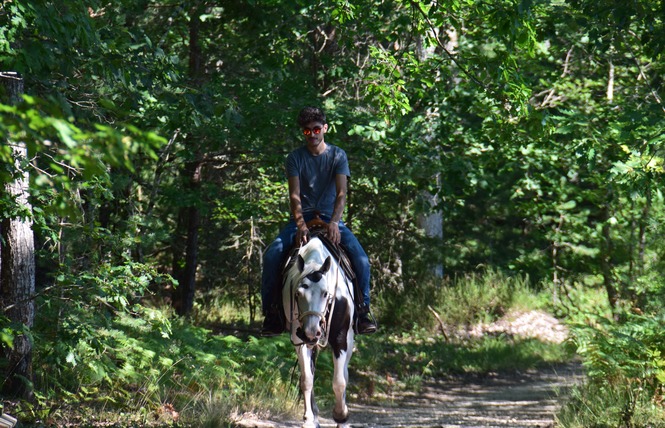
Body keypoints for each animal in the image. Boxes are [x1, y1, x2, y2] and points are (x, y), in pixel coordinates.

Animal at [282, 234, 358, 428]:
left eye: (325, 293)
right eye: (298, 294)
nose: (311, 332)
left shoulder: (340, 338)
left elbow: (339, 381)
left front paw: (341, 415)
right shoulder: (299, 339)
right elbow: (307, 380)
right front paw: (309, 419)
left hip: (349, 339)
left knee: (344, 373)